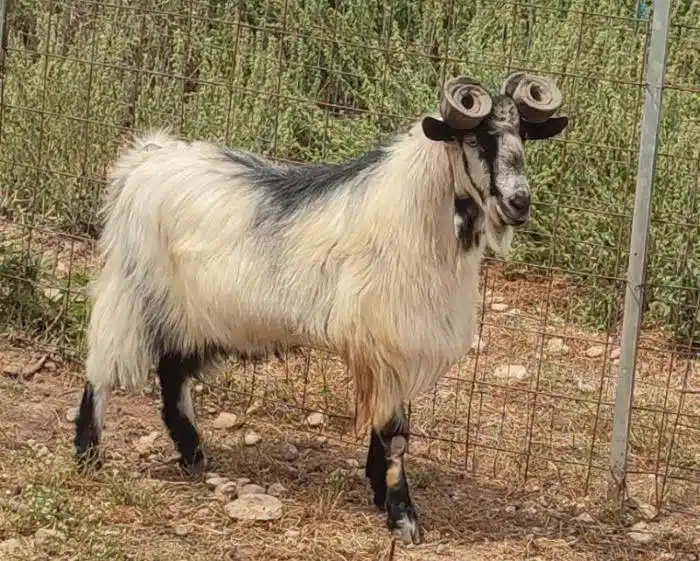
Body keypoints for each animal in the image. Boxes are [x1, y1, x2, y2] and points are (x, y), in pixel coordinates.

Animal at [73, 72, 568, 545]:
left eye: (523, 134)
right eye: (475, 139)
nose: (519, 202)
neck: (413, 216)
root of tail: (145, 159)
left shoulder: (390, 348)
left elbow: (384, 428)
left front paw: (377, 492)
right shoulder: (387, 340)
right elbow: (395, 435)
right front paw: (403, 519)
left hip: (195, 314)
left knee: (173, 374)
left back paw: (194, 455)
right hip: (130, 292)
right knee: (101, 369)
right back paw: (88, 456)